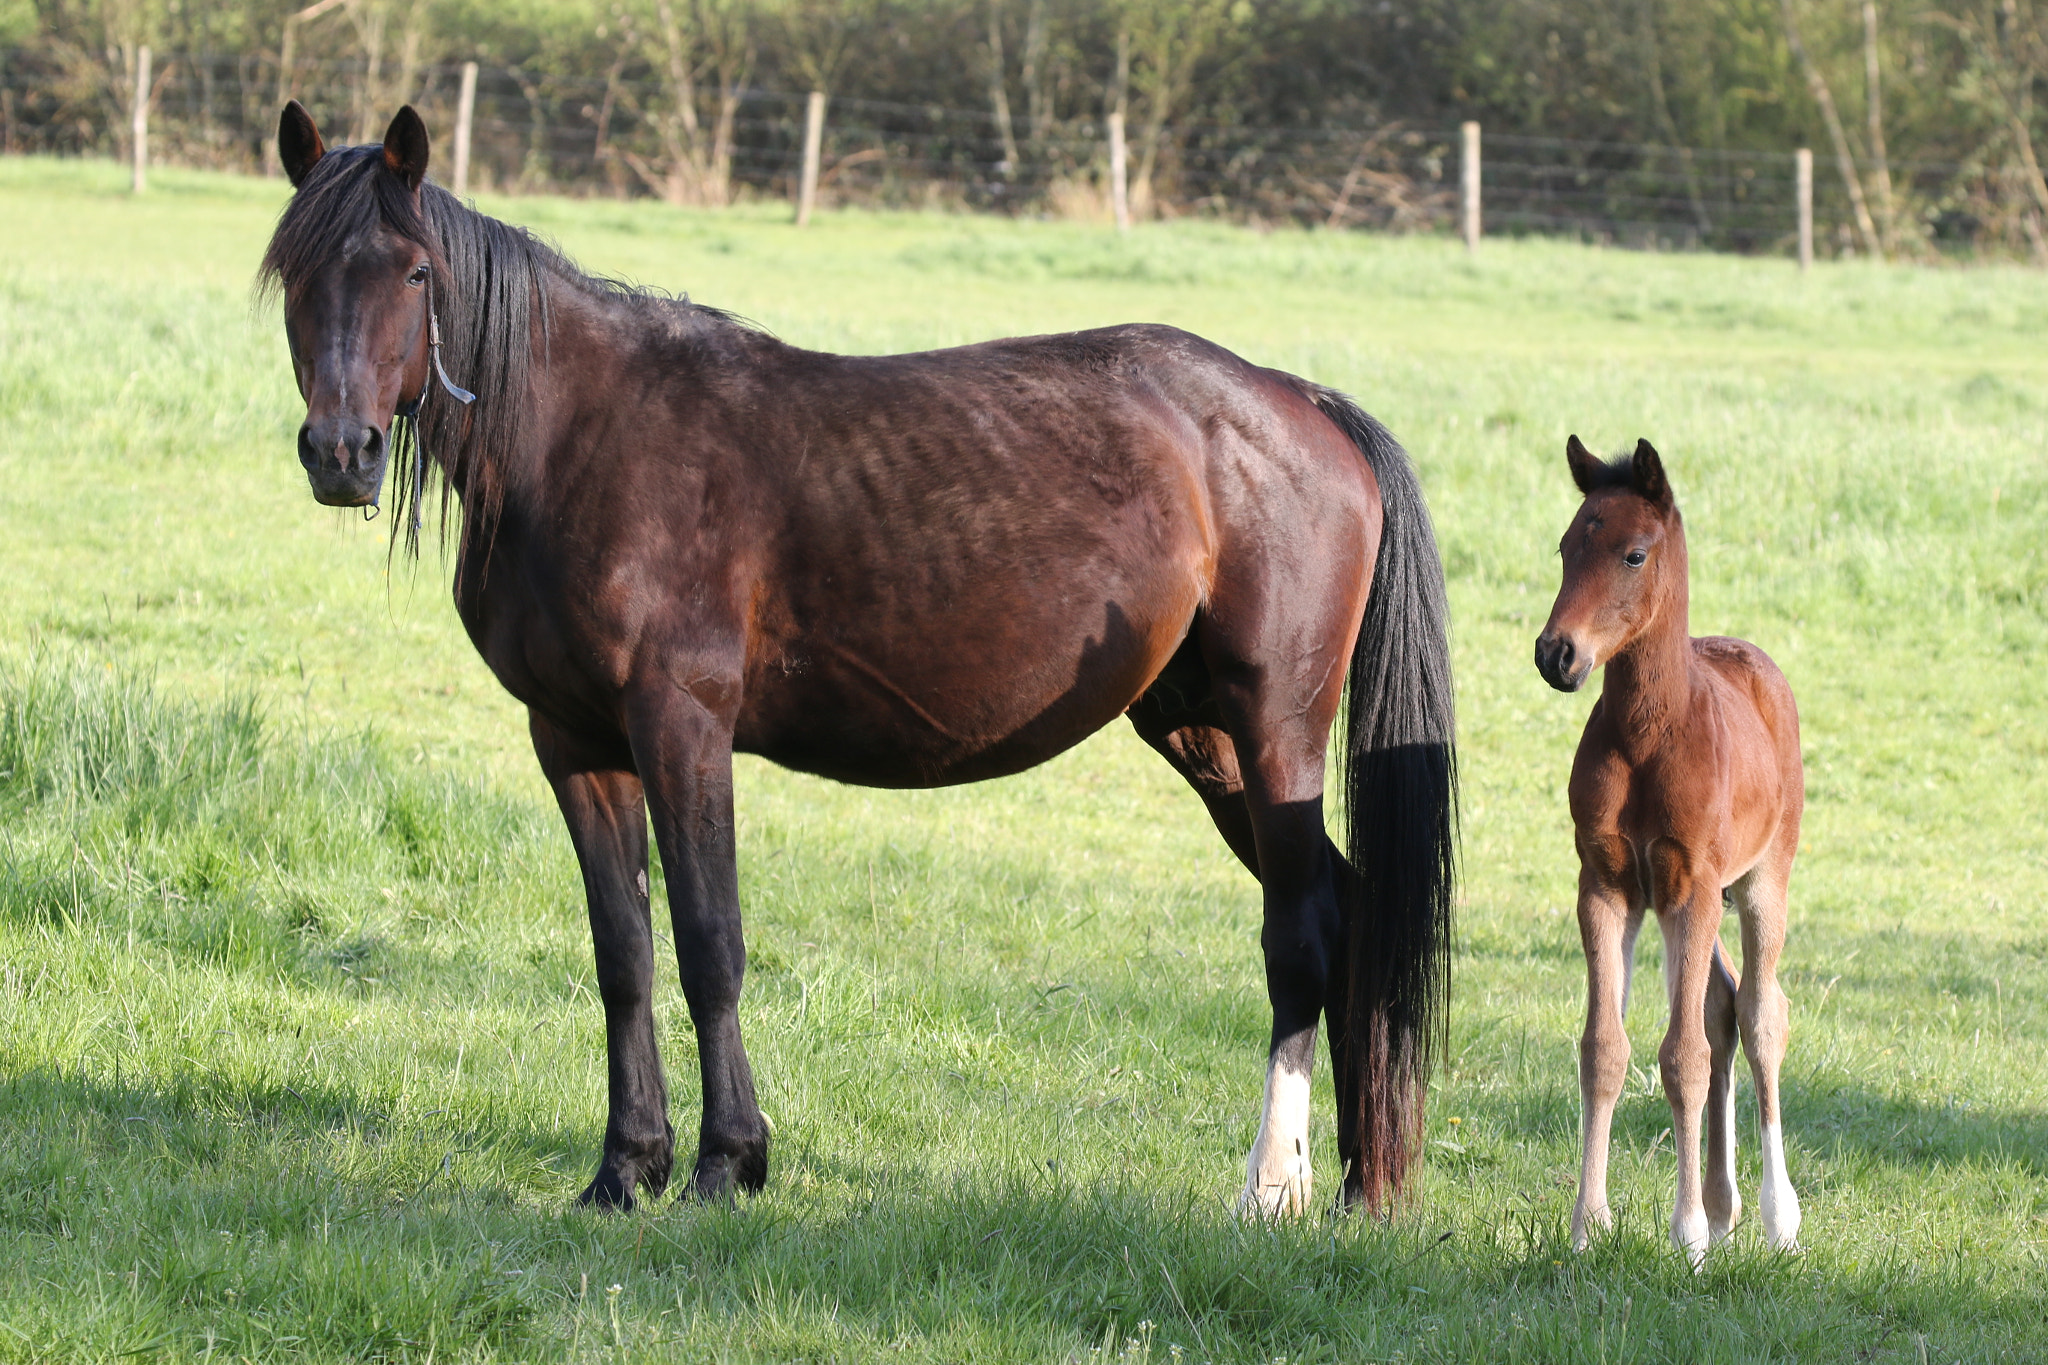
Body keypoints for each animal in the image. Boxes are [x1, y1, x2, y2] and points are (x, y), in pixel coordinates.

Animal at [264, 106, 1458, 1219]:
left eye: (415, 271)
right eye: (295, 271)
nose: (340, 454)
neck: (581, 440)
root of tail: (1299, 402)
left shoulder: (680, 724)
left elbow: (709, 943)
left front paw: (727, 1163)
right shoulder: (573, 741)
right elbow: (623, 955)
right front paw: (625, 1169)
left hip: (1275, 727)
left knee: (1300, 934)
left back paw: (1273, 1183)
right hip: (1196, 730)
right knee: (1347, 911)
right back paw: (1362, 1183)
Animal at [1531, 439, 1802, 1268]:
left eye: (1634, 552)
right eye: (1566, 545)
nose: (1556, 653)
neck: (1649, 735)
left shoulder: (1691, 886)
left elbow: (1683, 1058)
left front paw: (1684, 1237)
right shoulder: (1607, 885)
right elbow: (1605, 1050)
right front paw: (1589, 1226)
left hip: (1759, 881)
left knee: (1759, 1013)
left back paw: (1778, 1217)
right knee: (1721, 1008)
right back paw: (1722, 1204)